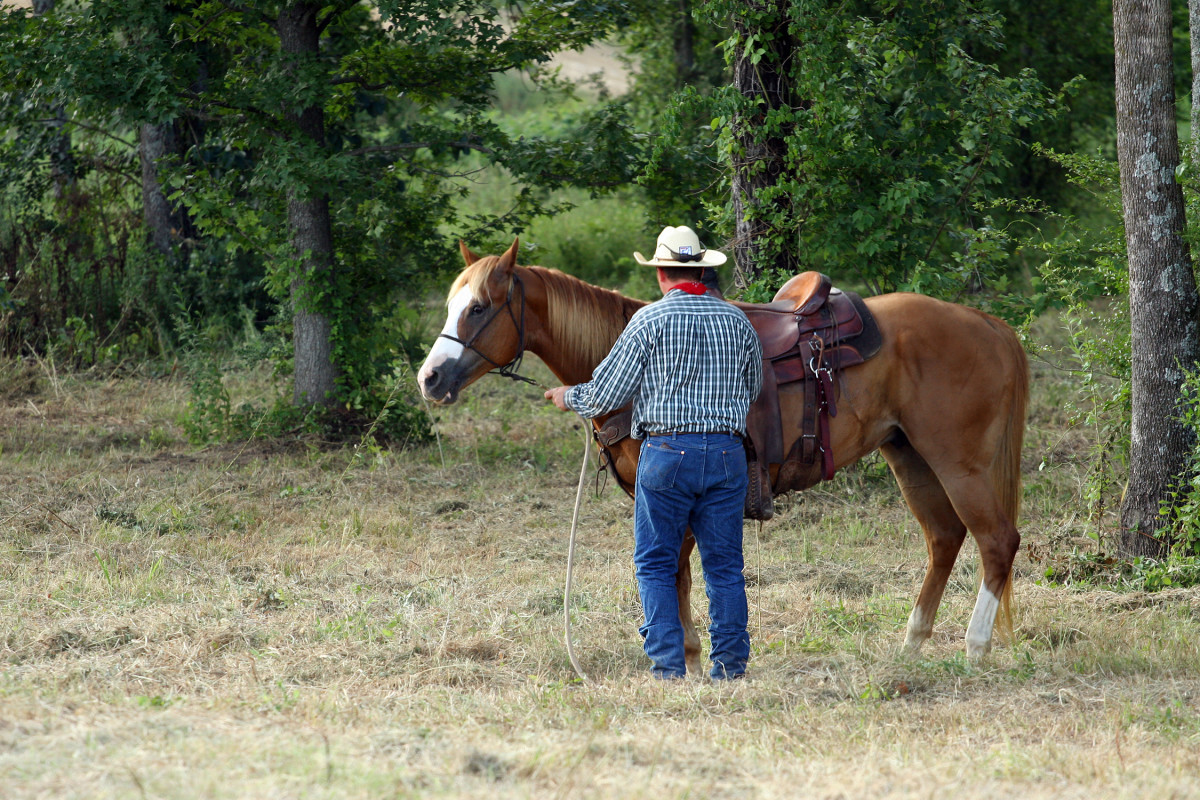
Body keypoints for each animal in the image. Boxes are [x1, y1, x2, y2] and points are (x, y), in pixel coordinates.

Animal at [417, 237, 1027, 676]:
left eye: (478, 308)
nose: (430, 379)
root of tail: (988, 325)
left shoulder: (668, 492)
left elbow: (675, 572)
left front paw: (682, 657)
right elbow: (683, 573)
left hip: (960, 464)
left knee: (997, 541)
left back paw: (974, 648)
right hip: (910, 457)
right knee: (944, 539)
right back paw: (911, 646)